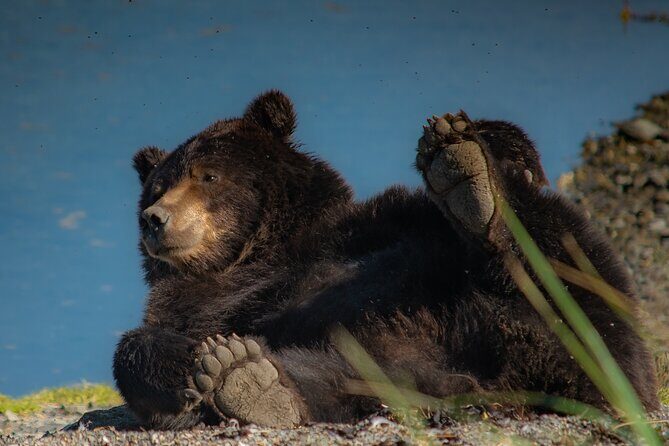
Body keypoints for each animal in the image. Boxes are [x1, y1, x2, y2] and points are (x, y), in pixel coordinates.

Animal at [113, 90, 658, 430]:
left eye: (208, 175)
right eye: (156, 187)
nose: (155, 219)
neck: (255, 256)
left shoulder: (378, 227)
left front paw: (464, 150)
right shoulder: (203, 305)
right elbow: (140, 347)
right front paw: (197, 361)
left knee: (568, 272)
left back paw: (471, 186)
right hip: (382, 367)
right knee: (331, 380)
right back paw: (247, 378)